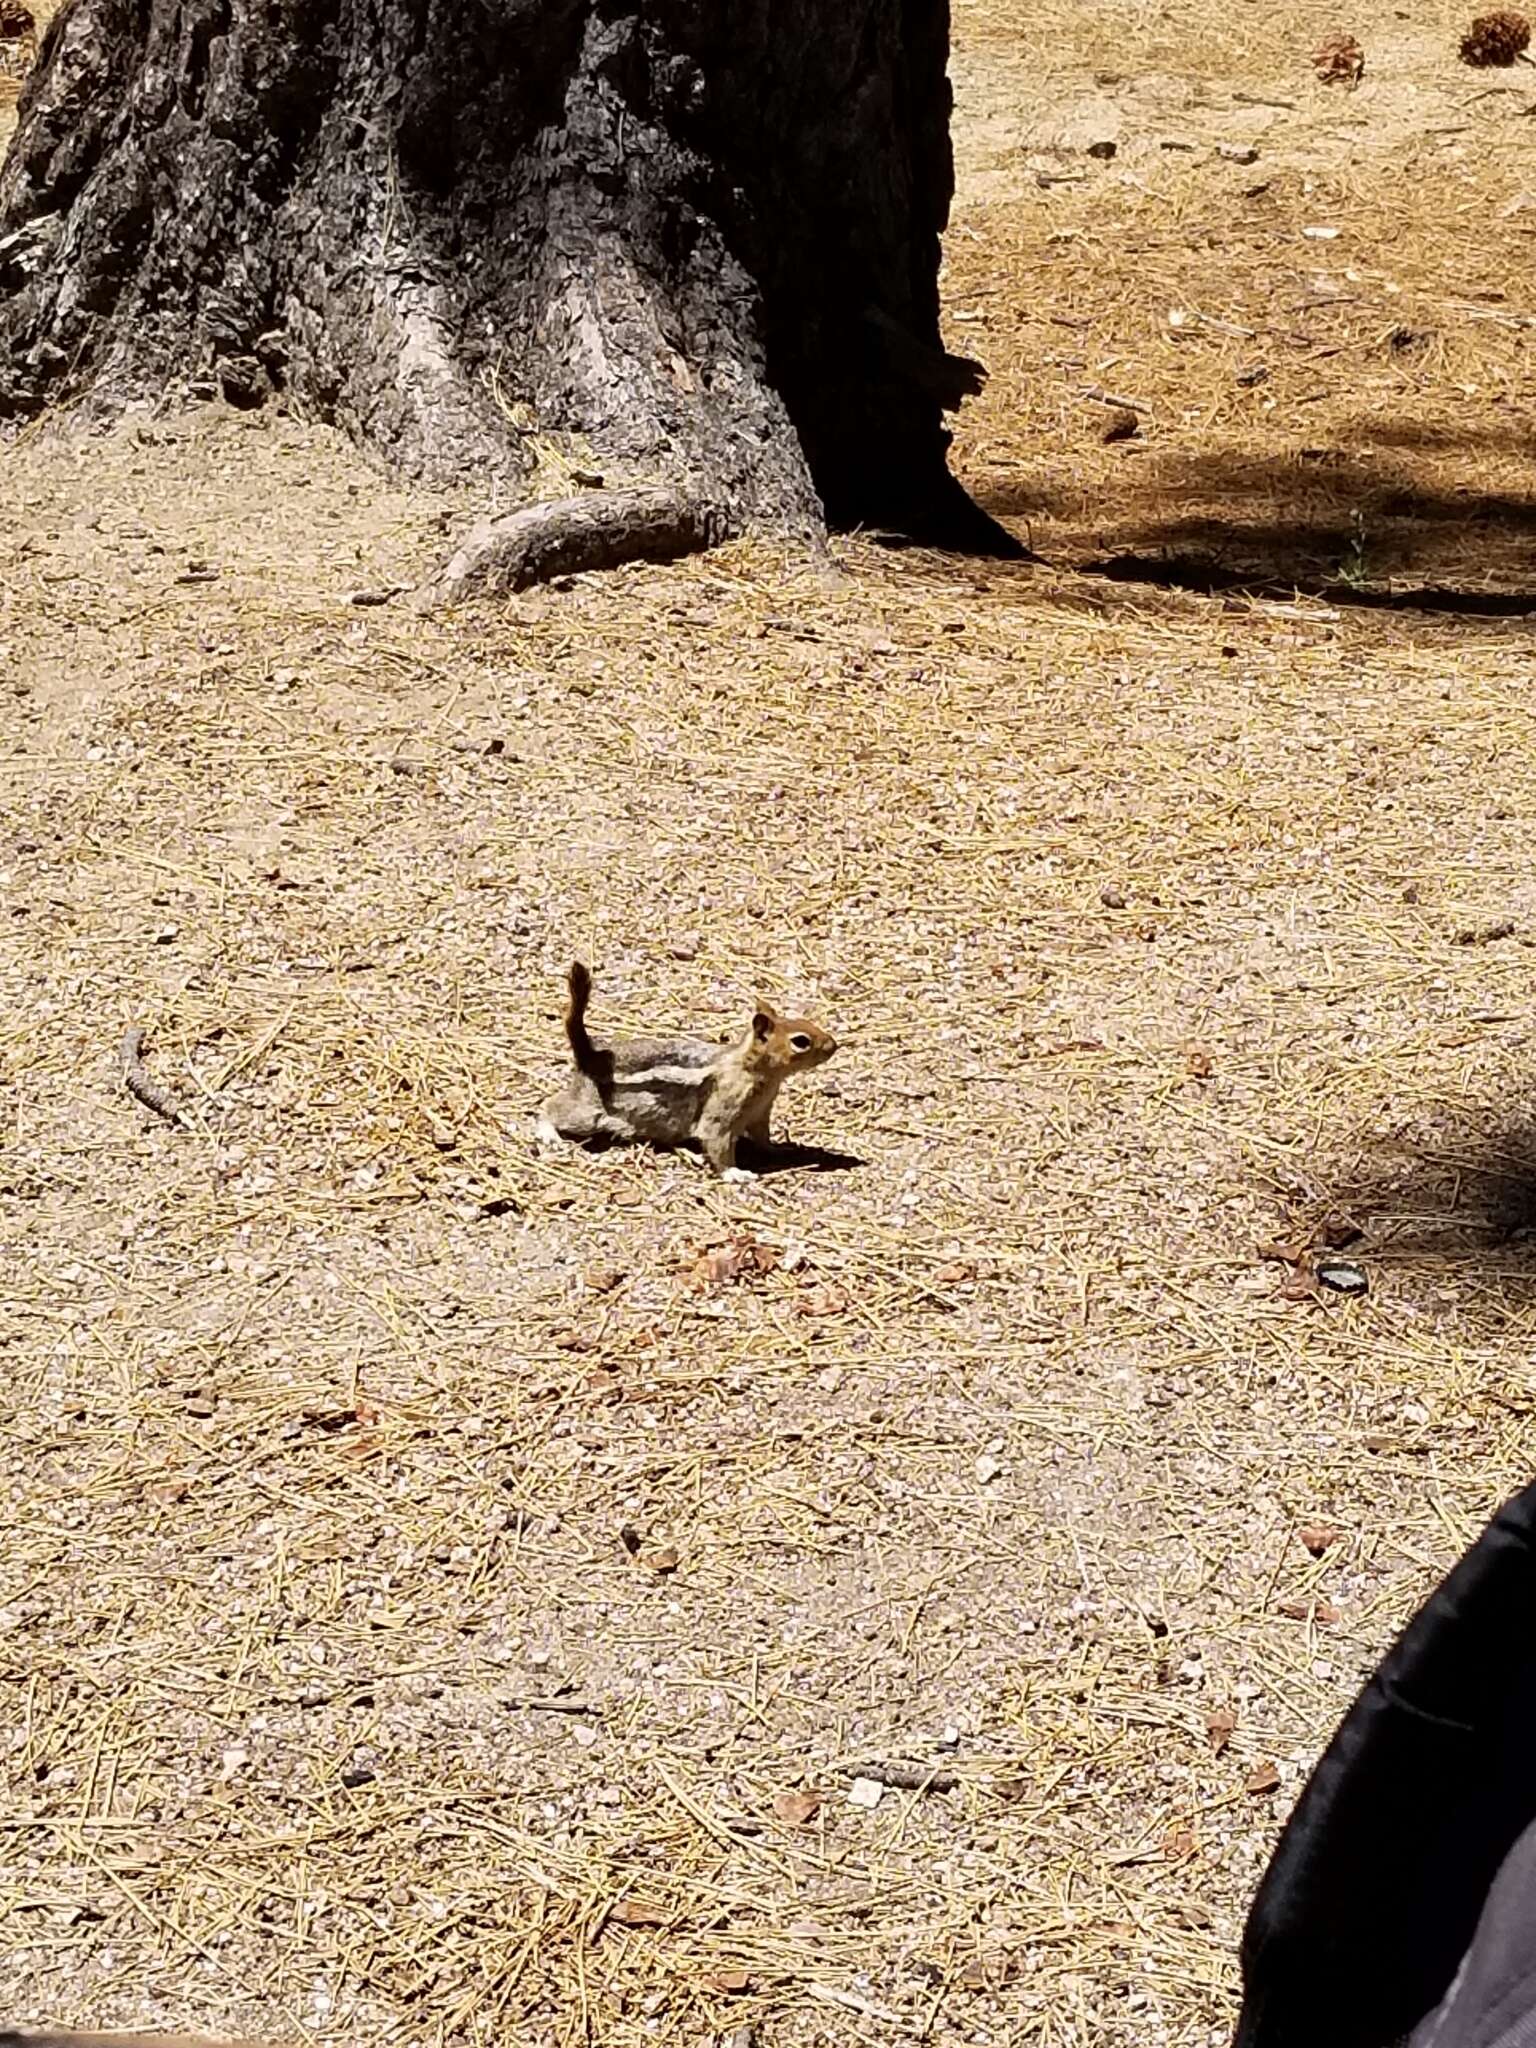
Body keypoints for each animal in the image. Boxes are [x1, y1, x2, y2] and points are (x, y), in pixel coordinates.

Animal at [536, 962, 835, 1179]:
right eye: (801, 1041)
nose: (834, 1045)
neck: (752, 1069)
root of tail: (589, 1055)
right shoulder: (722, 1113)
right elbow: (716, 1142)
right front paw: (735, 1173)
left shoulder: (760, 1113)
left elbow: (763, 1137)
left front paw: (779, 1150)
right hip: (588, 1113)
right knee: (549, 1106)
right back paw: (548, 1133)